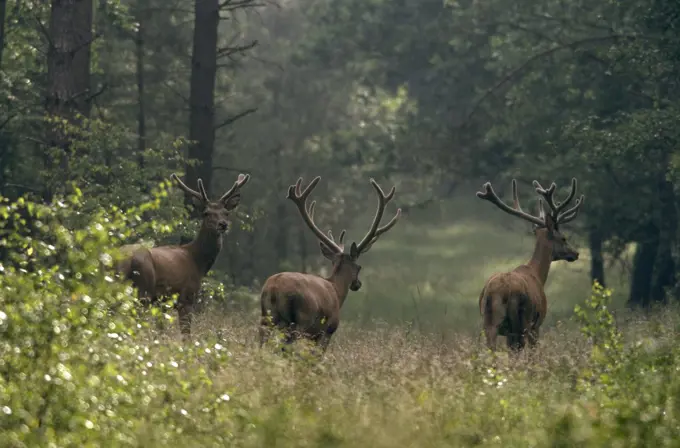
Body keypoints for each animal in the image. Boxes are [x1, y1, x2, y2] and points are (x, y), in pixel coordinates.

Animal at [116, 173, 250, 338]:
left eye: (226, 213)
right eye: (206, 213)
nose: (222, 224)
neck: (198, 261)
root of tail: (124, 261)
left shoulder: (161, 303)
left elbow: (160, 331)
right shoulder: (186, 297)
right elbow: (186, 335)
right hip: (143, 289)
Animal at [258, 175, 398, 354]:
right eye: (359, 267)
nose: (357, 284)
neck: (337, 290)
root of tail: (273, 290)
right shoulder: (328, 329)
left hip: (266, 318)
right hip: (300, 320)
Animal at [478, 177, 584, 352]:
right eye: (563, 238)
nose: (575, 253)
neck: (537, 274)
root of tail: (496, 292)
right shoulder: (537, 324)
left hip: (488, 321)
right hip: (521, 319)